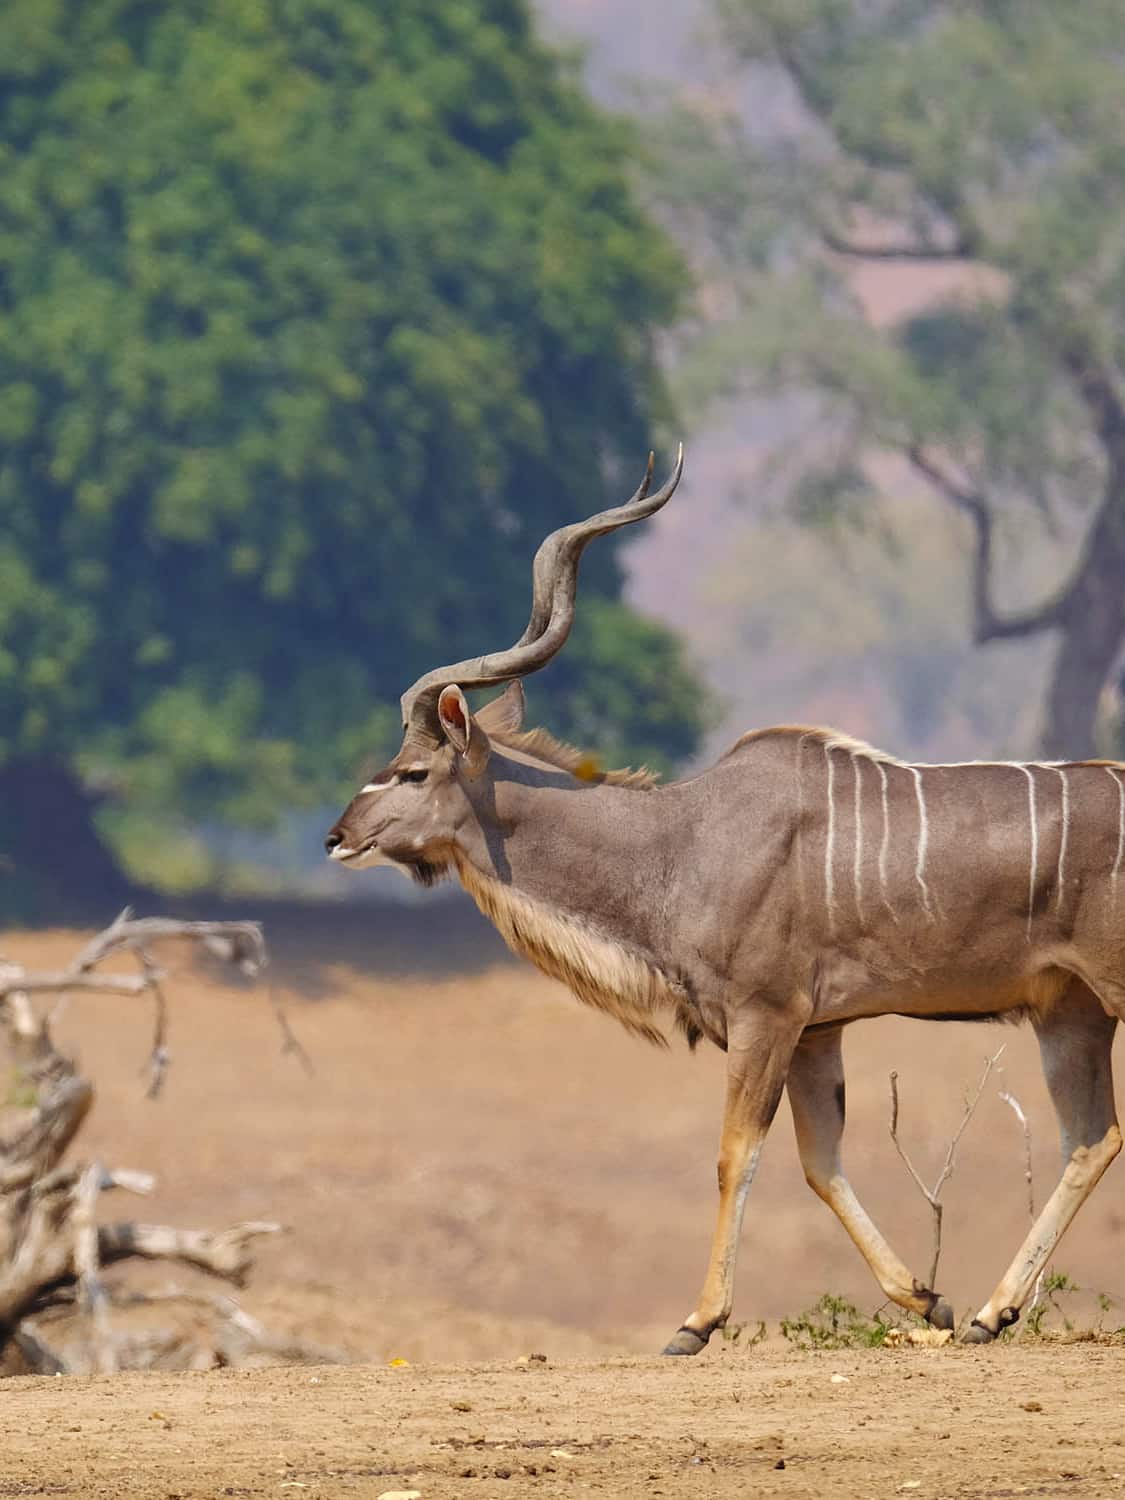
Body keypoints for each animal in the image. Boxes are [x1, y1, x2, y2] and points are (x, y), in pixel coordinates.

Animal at [330, 450, 1122, 1356]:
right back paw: (994, 1313)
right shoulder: (817, 1031)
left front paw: (696, 1322)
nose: (337, 836)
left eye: (412, 772)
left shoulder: (766, 1017)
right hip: (1070, 1013)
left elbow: (735, 1154)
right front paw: (930, 1303)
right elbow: (821, 1162)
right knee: (1090, 1138)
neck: (681, 842)